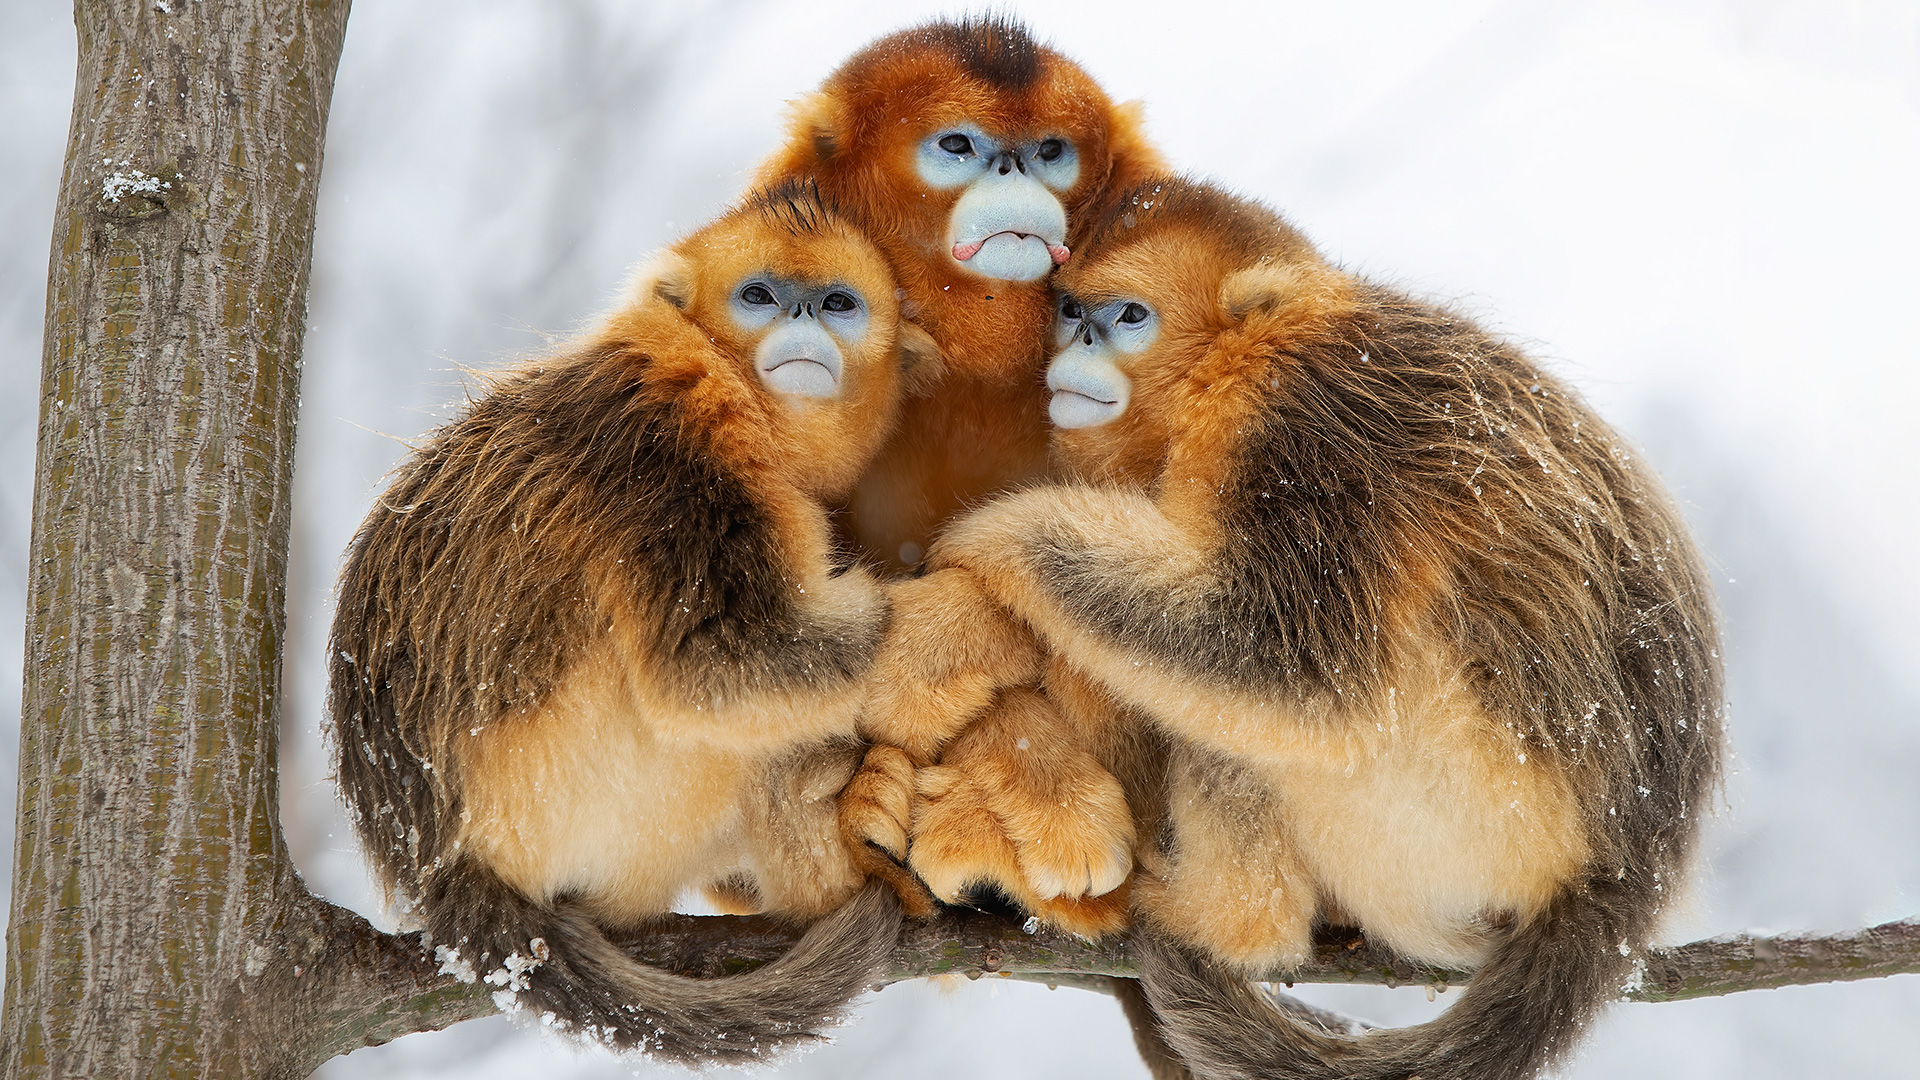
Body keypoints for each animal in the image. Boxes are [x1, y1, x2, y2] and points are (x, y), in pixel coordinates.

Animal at [326, 182, 935, 1064]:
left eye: (837, 303)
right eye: (759, 296)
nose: (800, 319)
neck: (726, 379)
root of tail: (444, 872)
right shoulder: (675, 456)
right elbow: (717, 667)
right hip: (587, 796)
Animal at [860, 176, 1724, 1080]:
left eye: (1128, 316)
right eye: (1070, 311)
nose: (1076, 345)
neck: (1240, 357)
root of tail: (1625, 875)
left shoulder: (1297, 424)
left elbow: (1285, 663)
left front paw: (989, 548)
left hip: (1468, 813)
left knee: (1254, 724)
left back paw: (1216, 921)